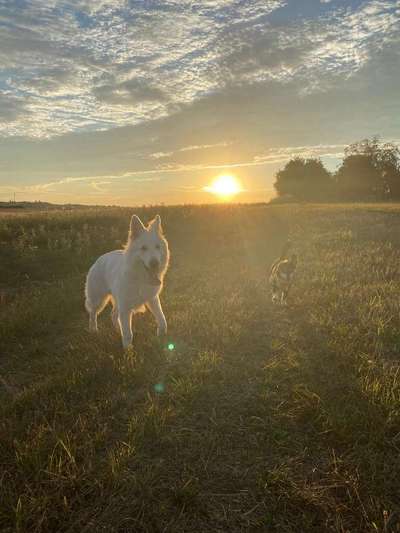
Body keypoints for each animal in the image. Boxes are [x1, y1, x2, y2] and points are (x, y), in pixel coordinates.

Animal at [85, 214, 170, 348]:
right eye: (143, 248)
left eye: (157, 247)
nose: (155, 263)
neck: (139, 278)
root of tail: (99, 258)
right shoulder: (125, 308)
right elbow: (128, 333)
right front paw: (128, 351)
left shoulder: (153, 299)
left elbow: (162, 320)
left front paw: (161, 336)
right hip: (98, 300)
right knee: (93, 313)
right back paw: (93, 330)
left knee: (113, 315)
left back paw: (116, 330)